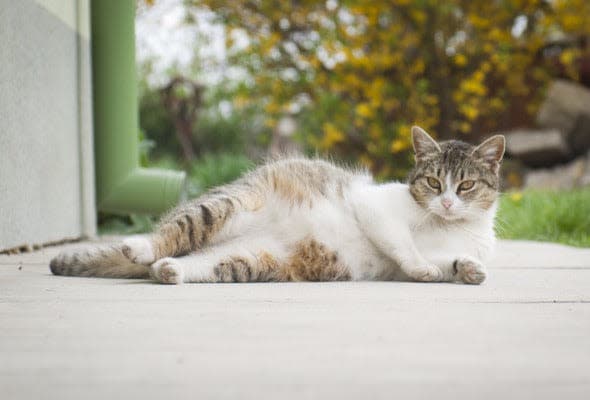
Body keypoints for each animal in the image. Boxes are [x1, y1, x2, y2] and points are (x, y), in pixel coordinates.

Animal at [48, 126, 506, 286]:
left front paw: (469, 270)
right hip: (224, 206)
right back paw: (141, 247)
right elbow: (403, 245)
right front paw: (424, 266)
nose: (447, 202)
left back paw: (169, 271)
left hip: (245, 260)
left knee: (188, 262)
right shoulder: (374, 206)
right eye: (433, 182)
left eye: (465, 185)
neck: (447, 226)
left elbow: (449, 262)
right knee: (170, 233)